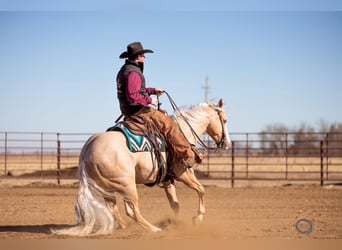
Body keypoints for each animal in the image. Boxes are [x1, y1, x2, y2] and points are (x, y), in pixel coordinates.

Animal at [52, 98, 230, 235]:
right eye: (225, 120)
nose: (226, 143)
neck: (183, 131)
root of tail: (87, 150)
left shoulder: (167, 179)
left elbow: (175, 204)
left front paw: (176, 223)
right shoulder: (184, 173)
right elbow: (202, 190)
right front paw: (197, 218)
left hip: (108, 188)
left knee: (113, 208)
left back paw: (124, 227)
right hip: (127, 185)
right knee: (132, 211)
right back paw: (154, 229)